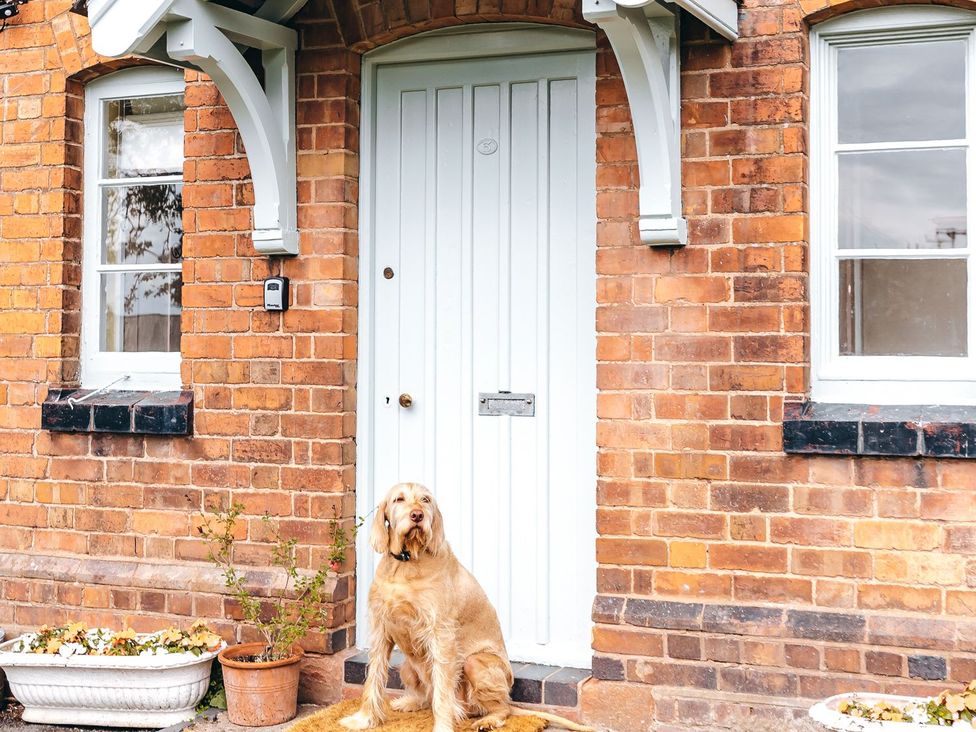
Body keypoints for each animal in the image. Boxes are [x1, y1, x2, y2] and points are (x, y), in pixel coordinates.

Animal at [340, 484, 592, 728]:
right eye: (398, 499)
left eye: (425, 500)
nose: (417, 515)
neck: (407, 562)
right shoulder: (381, 629)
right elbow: (373, 676)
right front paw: (363, 719)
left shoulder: (441, 633)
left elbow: (442, 692)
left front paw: (442, 726)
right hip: (407, 665)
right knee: (426, 696)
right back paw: (410, 702)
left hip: (475, 663)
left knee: (501, 709)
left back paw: (487, 720)